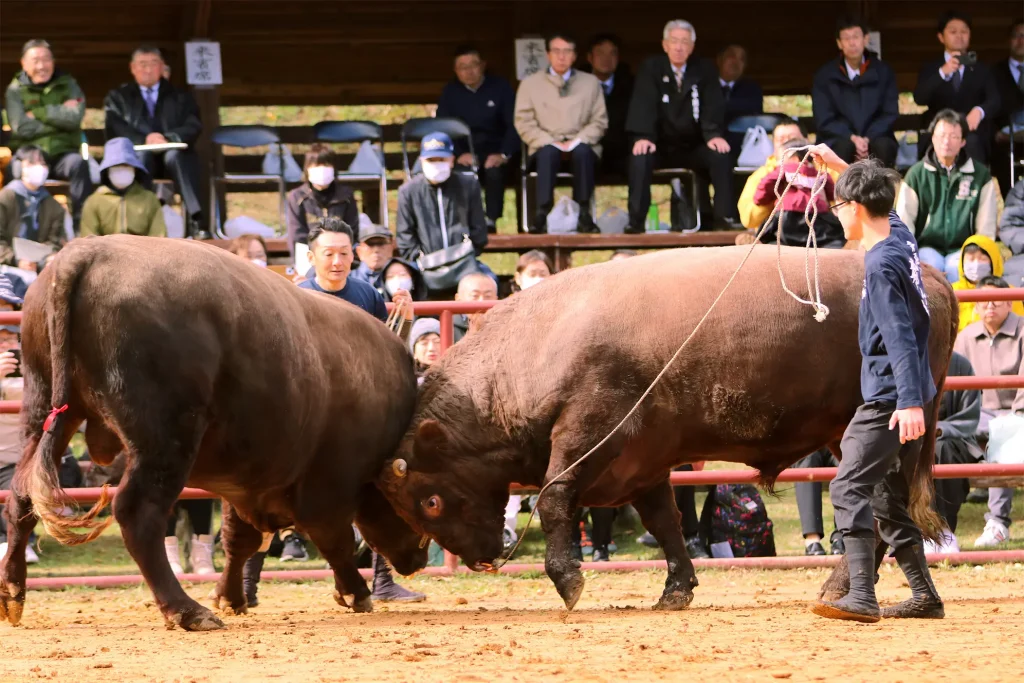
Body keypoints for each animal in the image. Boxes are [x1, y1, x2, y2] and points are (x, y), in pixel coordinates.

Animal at [0, 235, 425, 630]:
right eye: (430, 498)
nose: (419, 558)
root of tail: (85, 253)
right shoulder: (327, 486)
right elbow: (333, 538)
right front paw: (355, 592)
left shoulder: (248, 483)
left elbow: (239, 539)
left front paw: (230, 596)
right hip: (164, 443)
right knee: (138, 513)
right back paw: (186, 610)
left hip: (48, 415)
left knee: (22, 496)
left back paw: (13, 594)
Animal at [380, 248, 954, 610]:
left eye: (431, 501)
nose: (482, 559)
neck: (535, 345)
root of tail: (927, 274)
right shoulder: (643, 462)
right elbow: (665, 524)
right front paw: (676, 588)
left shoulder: (587, 435)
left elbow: (554, 498)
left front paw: (567, 580)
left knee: (883, 515)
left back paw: (843, 588)